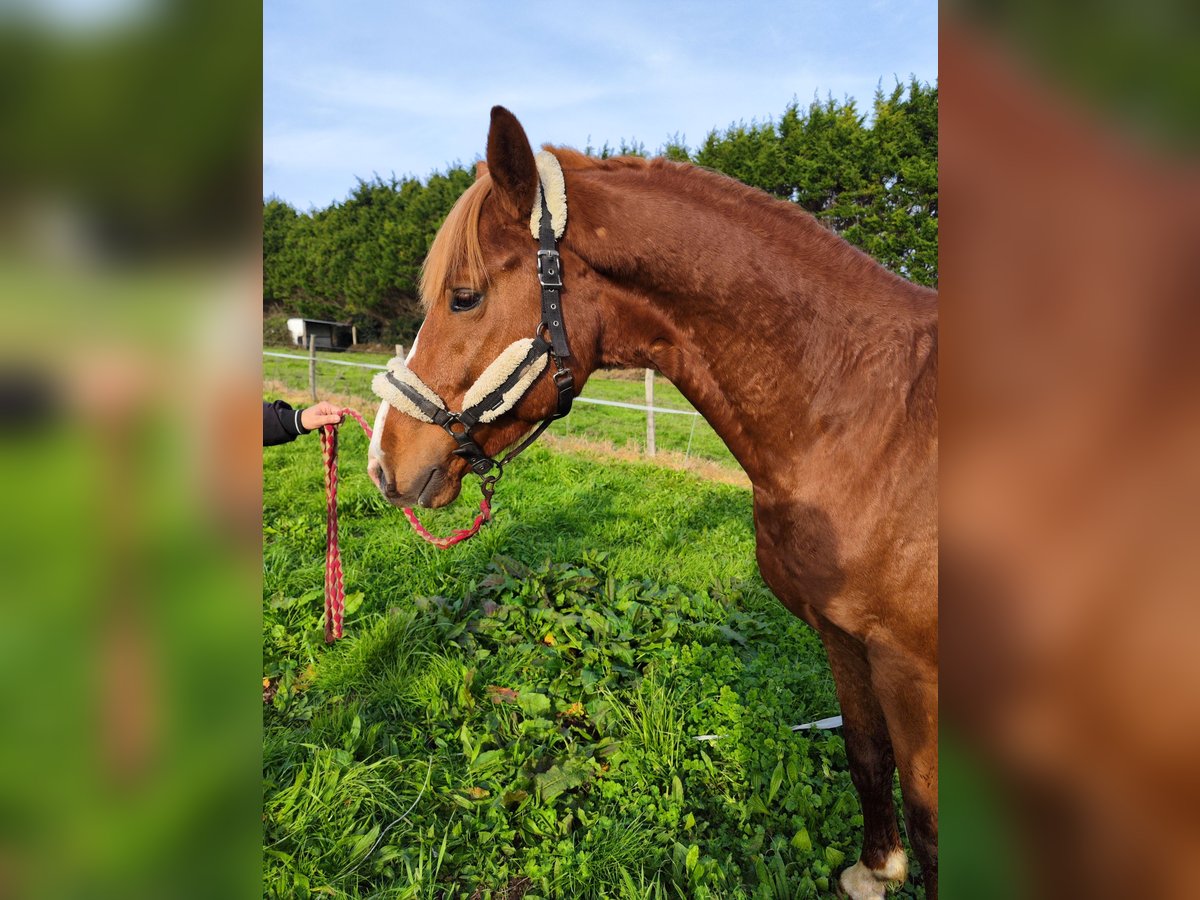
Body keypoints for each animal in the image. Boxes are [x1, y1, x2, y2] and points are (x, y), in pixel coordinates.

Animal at [364, 107, 936, 900]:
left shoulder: (914, 671)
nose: (384, 462)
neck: (869, 420)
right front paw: (874, 871)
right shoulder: (844, 637)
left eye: (465, 296)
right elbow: (865, 754)